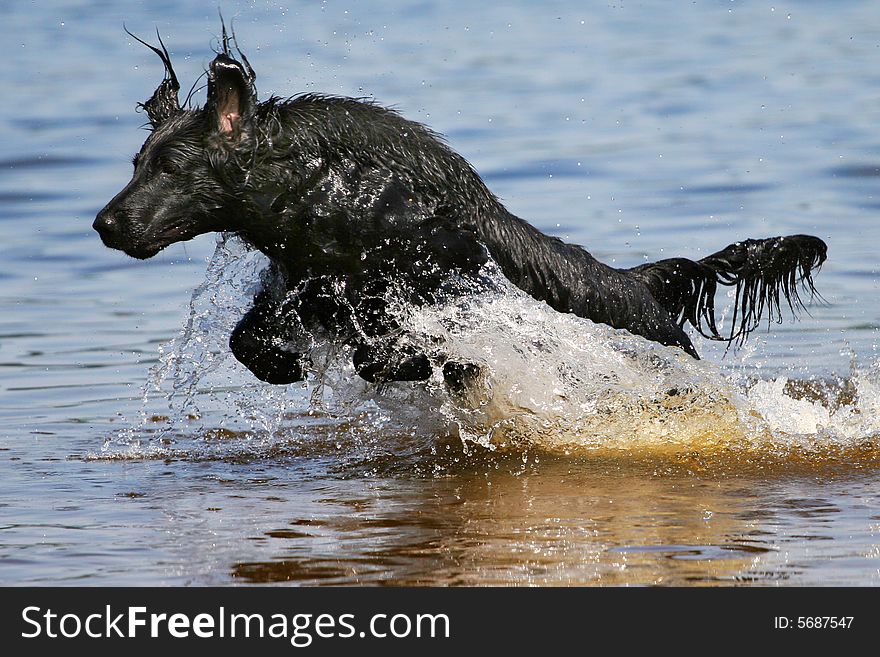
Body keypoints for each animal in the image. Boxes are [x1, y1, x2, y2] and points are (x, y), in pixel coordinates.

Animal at [94, 30, 824, 386]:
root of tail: (638, 282)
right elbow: (249, 337)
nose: (104, 224)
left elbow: (391, 351)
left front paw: (423, 365)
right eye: (135, 164)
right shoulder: (303, 288)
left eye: (171, 167)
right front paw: (287, 366)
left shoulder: (442, 280)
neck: (328, 196)